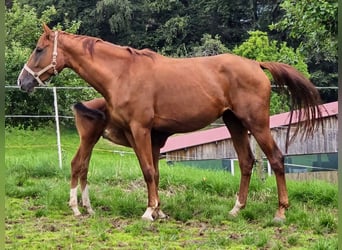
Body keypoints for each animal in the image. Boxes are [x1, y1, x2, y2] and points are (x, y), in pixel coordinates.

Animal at [17, 24, 322, 222]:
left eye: (39, 49)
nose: (23, 81)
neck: (122, 73)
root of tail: (256, 65)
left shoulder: (140, 130)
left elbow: (148, 172)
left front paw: (149, 212)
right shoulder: (147, 136)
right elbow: (155, 172)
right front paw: (158, 210)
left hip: (256, 123)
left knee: (277, 159)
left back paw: (280, 212)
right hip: (234, 123)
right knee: (247, 163)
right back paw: (237, 209)